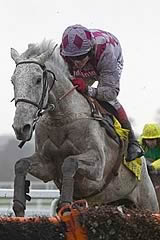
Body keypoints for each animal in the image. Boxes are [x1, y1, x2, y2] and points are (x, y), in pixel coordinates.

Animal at [10, 39, 159, 218]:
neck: (61, 119)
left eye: (38, 80)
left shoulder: (98, 165)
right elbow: (20, 164)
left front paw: (65, 205)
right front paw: (19, 206)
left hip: (148, 202)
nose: (20, 127)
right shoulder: (47, 165)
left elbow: (69, 162)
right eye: (13, 81)